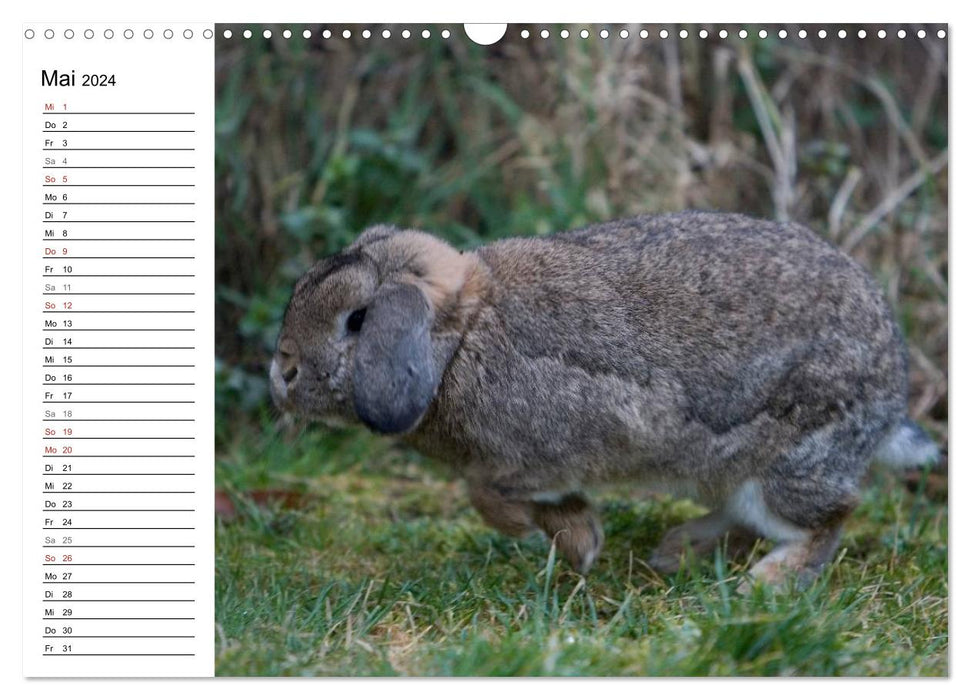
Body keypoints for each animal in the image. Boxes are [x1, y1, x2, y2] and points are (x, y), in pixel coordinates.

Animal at [270, 212, 936, 584]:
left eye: (357, 320)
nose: (281, 371)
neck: (462, 338)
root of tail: (890, 395)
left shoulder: (552, 447)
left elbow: (487, 494)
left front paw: (561, 540)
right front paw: (581, 542)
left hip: (792, 459)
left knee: (828, 518)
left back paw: (767, 584)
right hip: (726, 471)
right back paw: (676, 551)